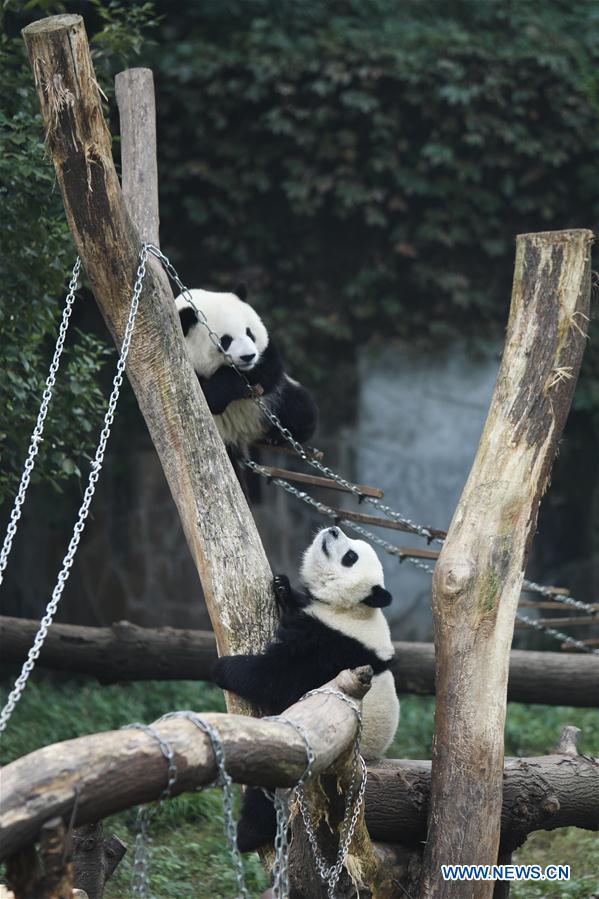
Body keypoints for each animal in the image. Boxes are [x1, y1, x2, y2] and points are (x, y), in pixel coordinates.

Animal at [176, 284, 318, 454]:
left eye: (249, 333)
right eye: (225, 340)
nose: (248, 356)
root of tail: (245, 435)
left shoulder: (265, 354)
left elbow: (269, 370)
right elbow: (204, 401)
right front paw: (229, 386)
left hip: (273, 404)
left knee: (299, 407)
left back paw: (279, 436)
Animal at [213, 528, 400, 852]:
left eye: (350, 556)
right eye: (351, 545)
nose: (333, 530)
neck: (350, 609)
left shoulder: (331, 647)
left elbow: (276, 676)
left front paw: (221, 668)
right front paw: (283, 587)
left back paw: (247, 835)